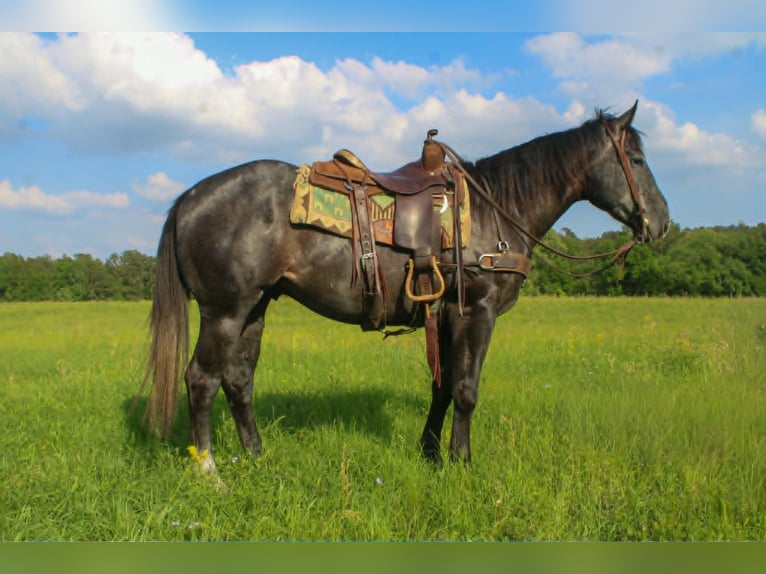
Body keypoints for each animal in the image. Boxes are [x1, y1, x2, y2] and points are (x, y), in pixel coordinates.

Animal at [142, 101, 670, 472]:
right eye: (636, 158)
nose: (662, 223)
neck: (495, 211)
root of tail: (189, 198)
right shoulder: (475, 312)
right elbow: (466, 389)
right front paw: (462, 462)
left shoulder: (447, 315)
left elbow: (442, 388)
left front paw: (430, 453)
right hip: (224, 312)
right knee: (201, 380)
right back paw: (210, 472)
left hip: (255, 308)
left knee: (238, 380)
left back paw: (257, 456)